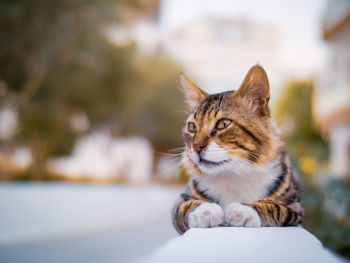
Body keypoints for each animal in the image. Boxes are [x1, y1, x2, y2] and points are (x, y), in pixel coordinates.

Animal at [172, 65, 304, 235]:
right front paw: (206, 211)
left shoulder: (295, 207)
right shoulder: (180, 201)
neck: (233, 174)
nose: (196, 147)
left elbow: (274, 208)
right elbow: (185, 208)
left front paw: (243, 211)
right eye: (192, 127)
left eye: (223, 123)